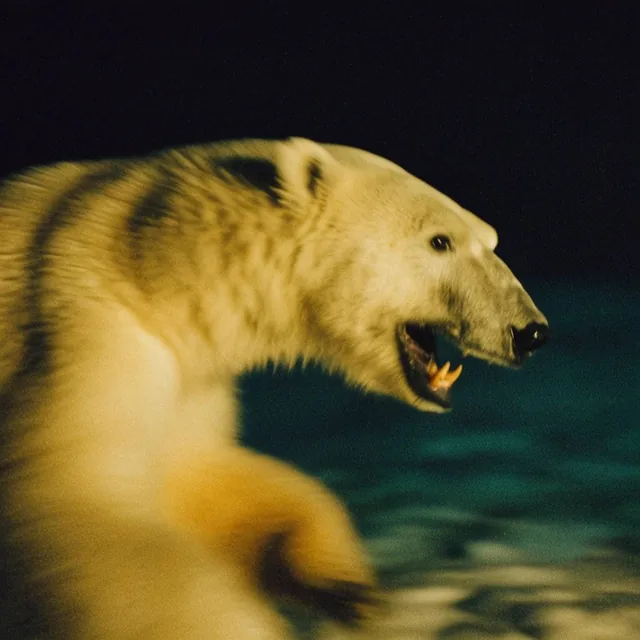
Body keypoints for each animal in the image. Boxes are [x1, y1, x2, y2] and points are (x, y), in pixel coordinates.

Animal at [0, 137, 548, 639]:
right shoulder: (83, 333)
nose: (530, 331)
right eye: (440, 241)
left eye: (491, 239)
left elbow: (203, 477)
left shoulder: (188, 382)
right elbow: (78, 505)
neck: (148, 266)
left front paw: (347, 587)